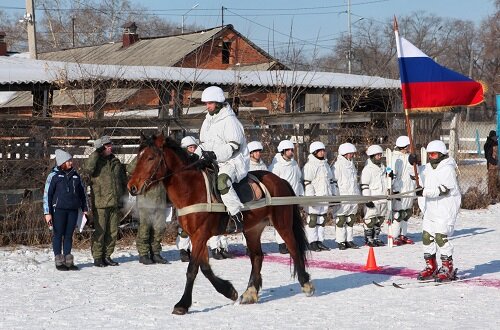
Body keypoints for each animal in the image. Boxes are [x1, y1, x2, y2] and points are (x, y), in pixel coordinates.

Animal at [127, 133, 312, 314]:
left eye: (150, 157)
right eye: (138, 156)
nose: (132, 187)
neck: (191, 190)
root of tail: (280, 180)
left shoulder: (200, 235)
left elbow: (192, 269)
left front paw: (182, 304)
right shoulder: (196, 236)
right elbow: (205, 268)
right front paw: (229, 291)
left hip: (282, 224)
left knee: (294, 249)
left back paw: (306, 284)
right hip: (253, 229)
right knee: (257, 256)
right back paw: (250, 292)